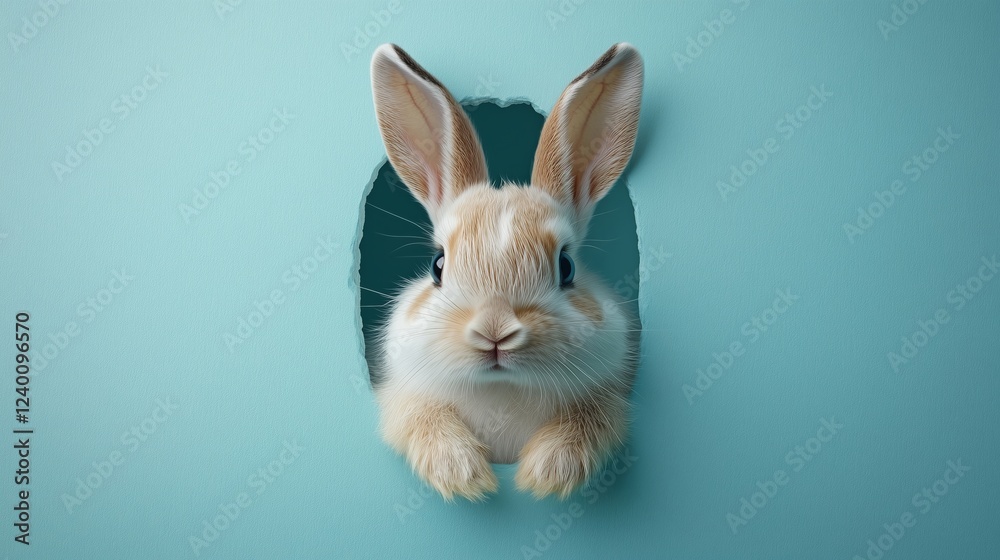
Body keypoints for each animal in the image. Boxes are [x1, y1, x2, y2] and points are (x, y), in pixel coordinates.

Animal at [369, 42, 643, 501]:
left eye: (566, 266)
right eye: (437, 265)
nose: (494, 332)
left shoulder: (606, 400)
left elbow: (585, 423)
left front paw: (546, 472)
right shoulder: (406, 397)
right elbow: (425, 420)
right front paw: (462, 473)